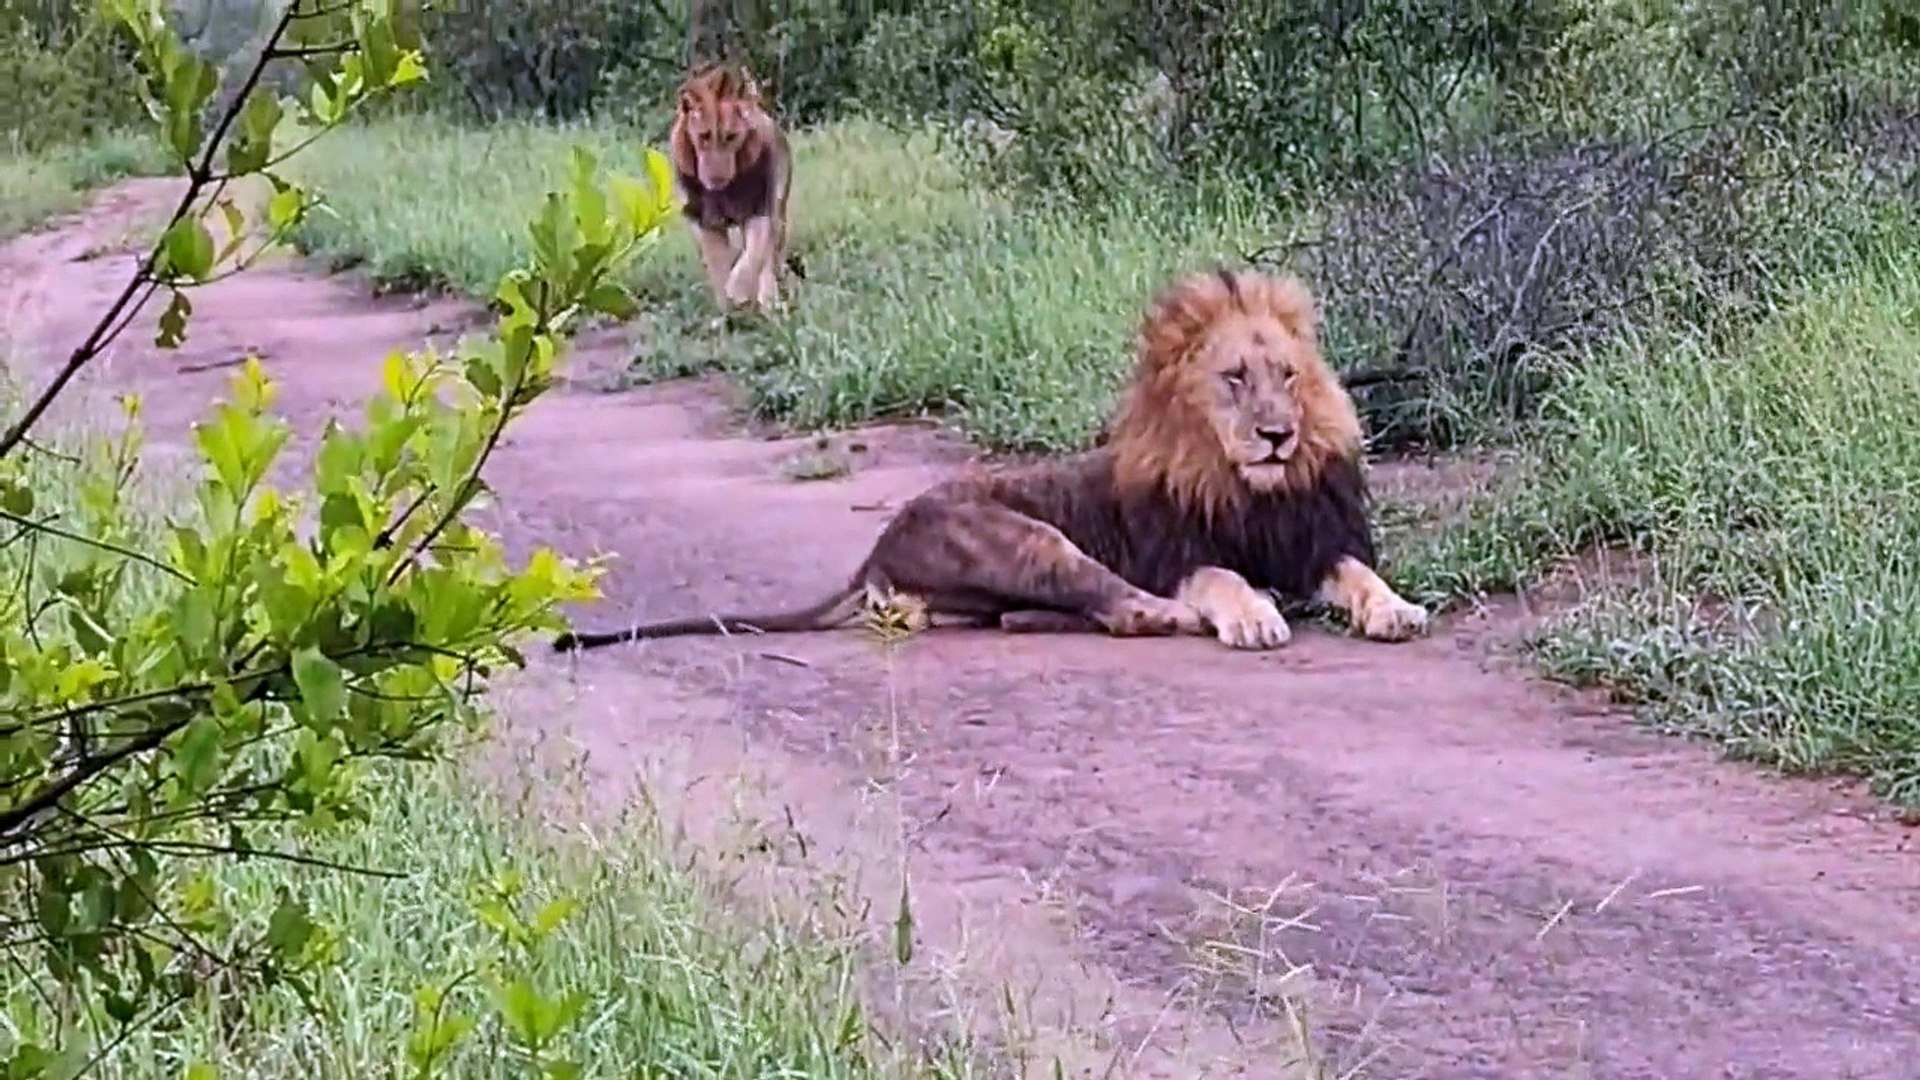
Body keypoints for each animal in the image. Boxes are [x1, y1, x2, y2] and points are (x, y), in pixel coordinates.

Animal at [552, 267, 1431, 653]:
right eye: (1234, 379)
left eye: (1288, 375)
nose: (1279, 434)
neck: (1251, 488)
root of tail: (875, 552)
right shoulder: (1176, 551)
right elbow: (1220, 578)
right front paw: (1251, 613)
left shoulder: (1313, 540)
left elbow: (1358, 573)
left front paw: (1393, 609)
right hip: (1030, 538)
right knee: (1115, 602)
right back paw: (1176, 614)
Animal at [668, 60, 800, 312]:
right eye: (703, 136)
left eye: (731, 137)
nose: (717, 178)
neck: (724, 191)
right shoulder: (708, 222)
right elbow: (718, 267)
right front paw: (728, 309)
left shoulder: (760, 210)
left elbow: (753, 256)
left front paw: (739, 292)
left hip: (779, 212)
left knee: (770, 257)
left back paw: (770, 300)